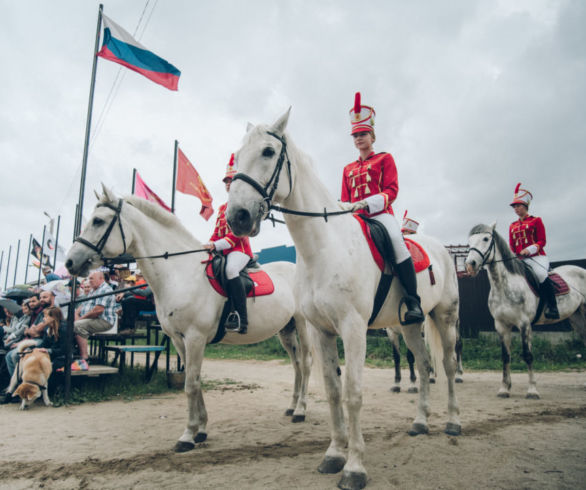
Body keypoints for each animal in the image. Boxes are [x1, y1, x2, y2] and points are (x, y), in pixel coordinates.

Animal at [64, 187, 312, 452]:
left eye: (98, 221)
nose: (70, 262)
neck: (180, 273)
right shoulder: (178, 339)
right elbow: (195, 380)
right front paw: (201, 430)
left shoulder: (195, 337)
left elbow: (190, 384)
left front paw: (187, 435)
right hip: (286, 330)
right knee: (296, 364)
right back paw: (292, 406)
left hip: (304, 325)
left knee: (306, 363)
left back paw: (300, 411)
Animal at [226, 110, 458, 490]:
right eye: (237, 154)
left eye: (268, 152)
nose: (237, 217)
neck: (323, 247)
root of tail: (441, 247)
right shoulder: (321, 331)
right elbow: (333, 391)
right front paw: (334, 455)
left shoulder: (353, 328)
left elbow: (353, 393)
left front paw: (354, 467)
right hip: (410, 324)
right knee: (424, 366)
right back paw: (421, 422)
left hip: (445, 316)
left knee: (449, 366)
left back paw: (453, 421)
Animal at [466, 222, 584, 398]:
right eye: (469, 242)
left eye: (486, 239)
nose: (470, 264)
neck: (504, 286)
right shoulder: (501, 325)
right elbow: (505, 356)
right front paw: (504, 388)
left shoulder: (524, 324)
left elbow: (528, 355)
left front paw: (532, 390)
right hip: (577, 318)